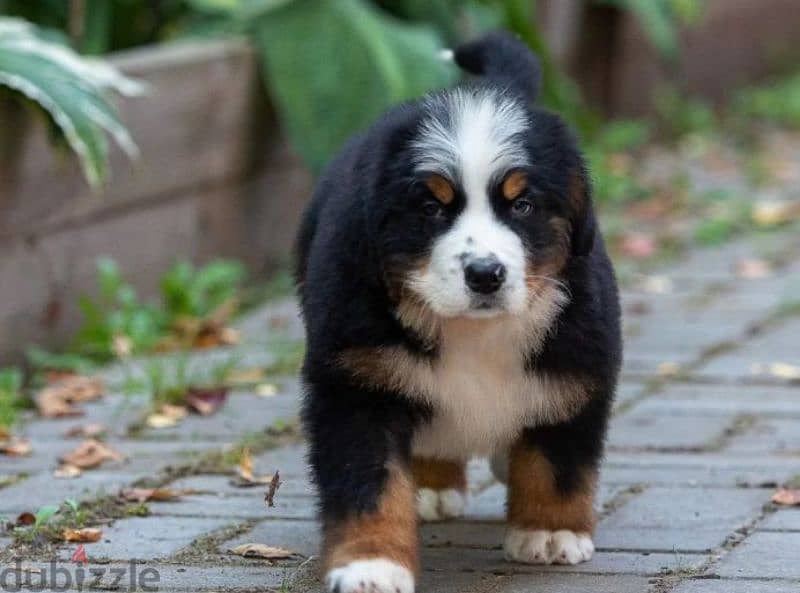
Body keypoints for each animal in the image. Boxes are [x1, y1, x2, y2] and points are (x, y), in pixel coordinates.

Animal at [296, 31, 620, 592]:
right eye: (430, 208)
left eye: (522, 205)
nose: (486, 274)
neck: (473, 333)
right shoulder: (356, 385)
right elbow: (369, 485)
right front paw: (370, 564)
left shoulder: (577, 365)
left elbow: (558, 459)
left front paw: (550, 531)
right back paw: (432, 486)